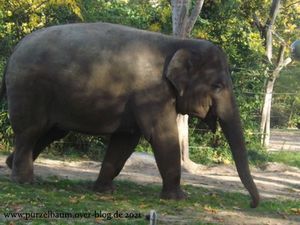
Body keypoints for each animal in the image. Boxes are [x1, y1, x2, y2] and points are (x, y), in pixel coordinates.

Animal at [0, 21, 258, 207]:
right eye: (217, 86)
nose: (252, 204)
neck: (178, 42)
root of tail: (14, 51)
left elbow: (126, 140)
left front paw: (104, 191)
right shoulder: (151, 93)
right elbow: (162, 136)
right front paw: (179, 198)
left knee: (50, 132)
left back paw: (11, 165)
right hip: (29, 89)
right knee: (30, 131)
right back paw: (24, 181)